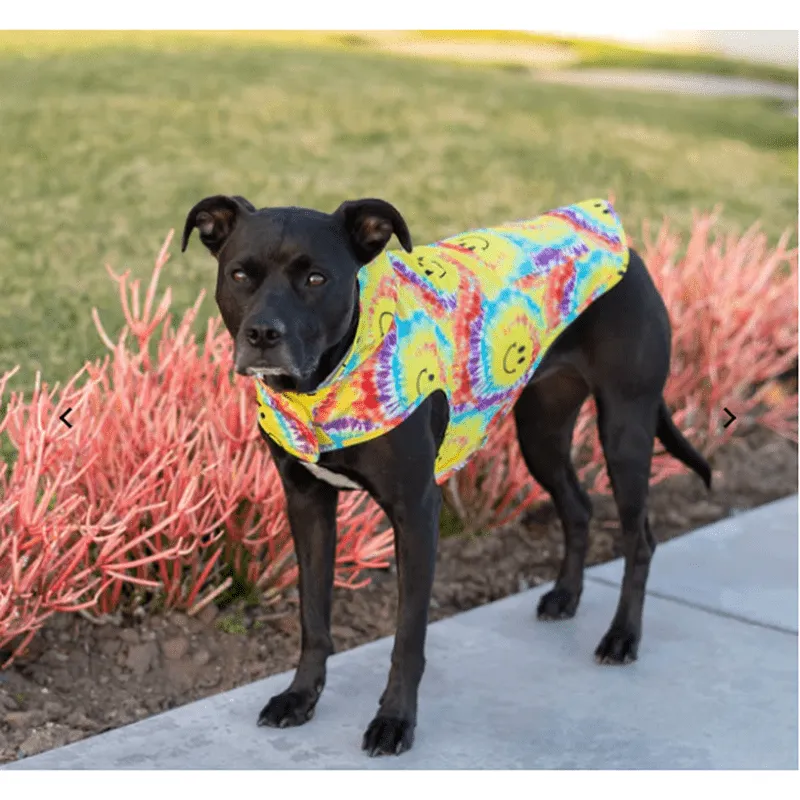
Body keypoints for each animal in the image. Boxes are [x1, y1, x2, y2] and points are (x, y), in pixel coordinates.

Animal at [183, 194, 712, 756]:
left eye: (316, 278)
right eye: (241, 274)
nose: (263, 334)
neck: (329, 376)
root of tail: (621, 239)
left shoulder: (416, 512)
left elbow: (407, 635)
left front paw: (394, 720)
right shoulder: (307, 503)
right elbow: (314, 617)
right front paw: (301, 697)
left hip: (625, 427)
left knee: (640, 539)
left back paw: (622, 637)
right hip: (541, 433)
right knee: (579, 506)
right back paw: (566, 598)